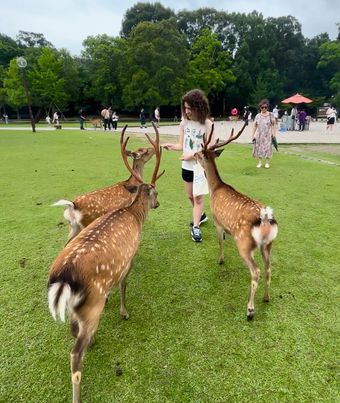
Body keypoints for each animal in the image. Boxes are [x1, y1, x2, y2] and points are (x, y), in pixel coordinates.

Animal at [47, 125, 165, 403]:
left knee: (73, 329)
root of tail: (63, 279)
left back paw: (91, 340)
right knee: (75, 355)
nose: (158, 203)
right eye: (155, 190)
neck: (134, 214)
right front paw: (124, 312)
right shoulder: (129, 258)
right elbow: (123, 285)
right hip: (91, 305)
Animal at [195, 123, 278, 322]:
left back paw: (250, 310)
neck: (215, 188)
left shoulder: (217, 221)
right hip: (268, 244)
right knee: (268, 269)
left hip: (244, 243)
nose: (192, 154)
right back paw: (266, 298)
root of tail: (265, 217)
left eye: (200, 153)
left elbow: (220, 241)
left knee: (256, 272)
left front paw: (220, 260)